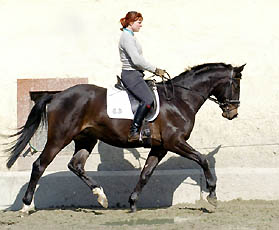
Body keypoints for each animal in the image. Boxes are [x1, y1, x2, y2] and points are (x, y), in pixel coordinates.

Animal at [6, 62, 245, 212]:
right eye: (236, 84)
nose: (232, 113)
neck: (180, 99)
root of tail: (56, 96)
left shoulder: (160, 147)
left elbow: (146, 174)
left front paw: (132, 203)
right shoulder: (175, 142)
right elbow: (202, 159)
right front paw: (212, 194)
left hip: (86, 139)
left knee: (76, 165)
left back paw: (101, 197)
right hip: (59, 138)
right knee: (39, 165)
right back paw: (26, 206)